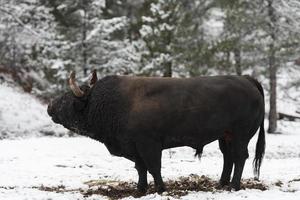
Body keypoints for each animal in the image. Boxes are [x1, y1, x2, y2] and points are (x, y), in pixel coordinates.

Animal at [47, 73, 264, 194]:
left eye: (67, 98)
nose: (50, 106)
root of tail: (247, 80)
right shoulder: (134, 147)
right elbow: (141, 168)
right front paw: (140, 189)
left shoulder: (149, 145)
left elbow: (153, 167)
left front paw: (160, 188)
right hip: (225, 137)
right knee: (229, 158)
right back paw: (222, 183)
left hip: (240, 136)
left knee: (240, 157)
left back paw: (233, 186)